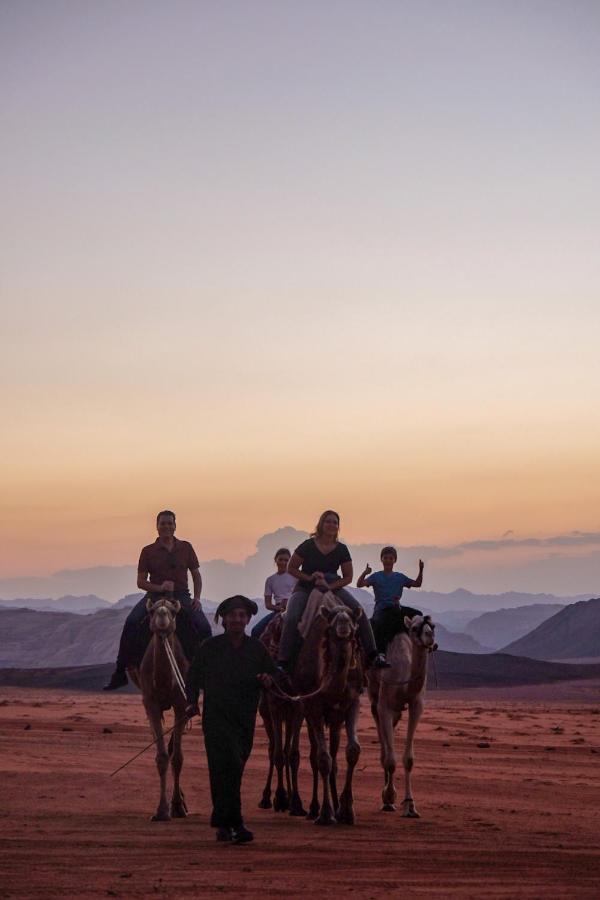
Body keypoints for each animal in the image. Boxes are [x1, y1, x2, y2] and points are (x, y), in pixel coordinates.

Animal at [127, 596, 189, 824]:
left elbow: (177, 757)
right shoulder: (151, 703)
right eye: (152, 611)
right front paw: (162, 811)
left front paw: (177, 807)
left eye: (173, 611)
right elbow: (162, 757)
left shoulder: (182, 704)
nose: (162, 614)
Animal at [292, 596, 364, 828]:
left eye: (353, 632)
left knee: (333, 754)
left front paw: (347, 810)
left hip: (334, 719)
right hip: (304, 709)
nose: (343, 627)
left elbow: (352, 751)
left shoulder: (352, 702)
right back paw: (310, 808)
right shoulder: (313, 706)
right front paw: (325, 813)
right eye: (330, 631)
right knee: (314, 755)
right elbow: (323, 759)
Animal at [366, 612, 436, 816]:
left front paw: (410, 805)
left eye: (433, 626)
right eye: (414, 628)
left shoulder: (416, 705)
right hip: (374, 693)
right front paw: (389, 798)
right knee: (383, 743)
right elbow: (390, 759)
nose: (430, 637)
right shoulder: (385, 706)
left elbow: (409, 759)